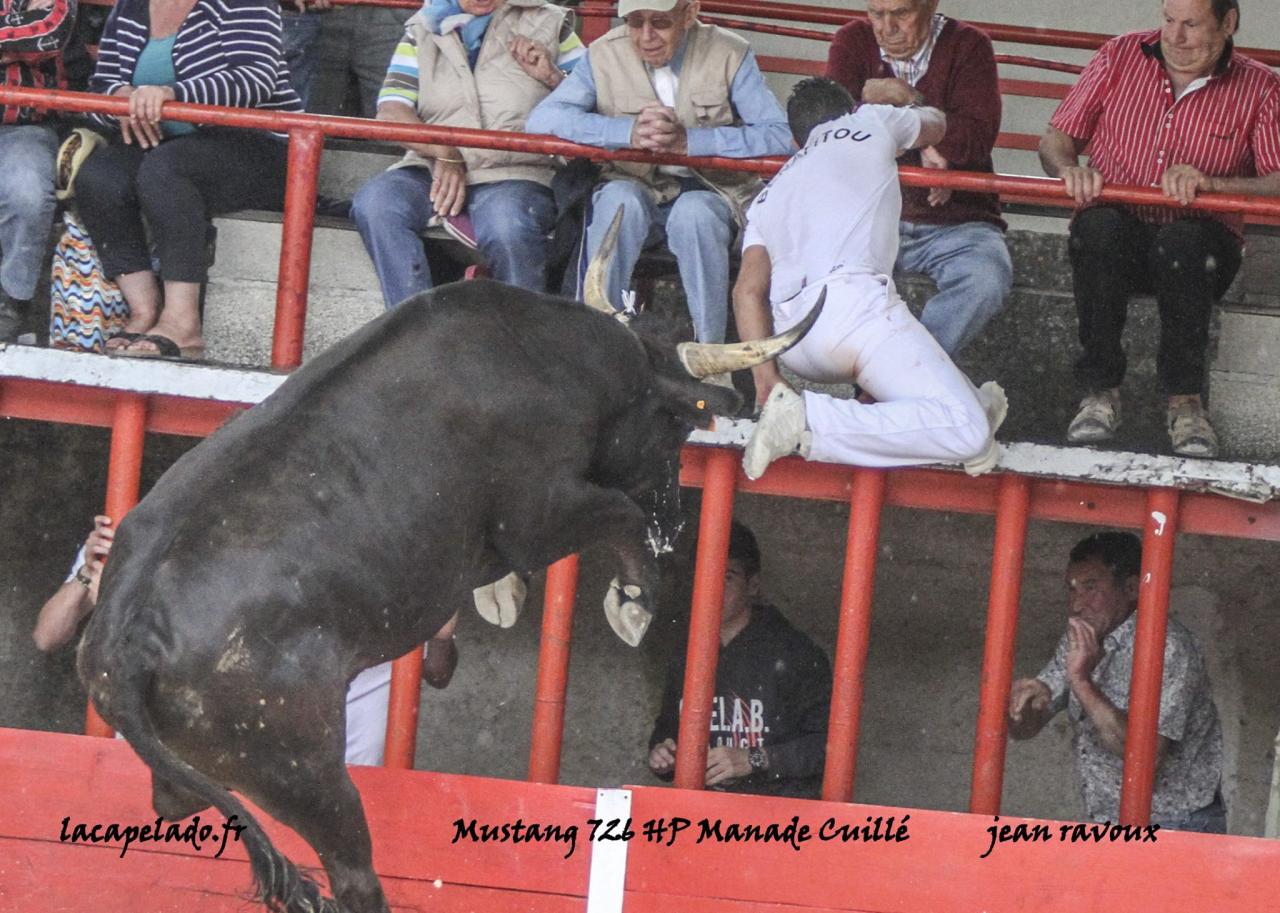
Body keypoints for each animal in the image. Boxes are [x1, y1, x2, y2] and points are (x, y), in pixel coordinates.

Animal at [80, 279, 814, 911]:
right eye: (674, 427)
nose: (677, 522)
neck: (555, 356)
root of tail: (127, 635)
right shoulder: (540, 513)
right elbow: (619, 516)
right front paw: (630, 602)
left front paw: (509, 596)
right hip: (308, 773)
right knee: (352, 875)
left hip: (211, 768)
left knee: (180, 804)